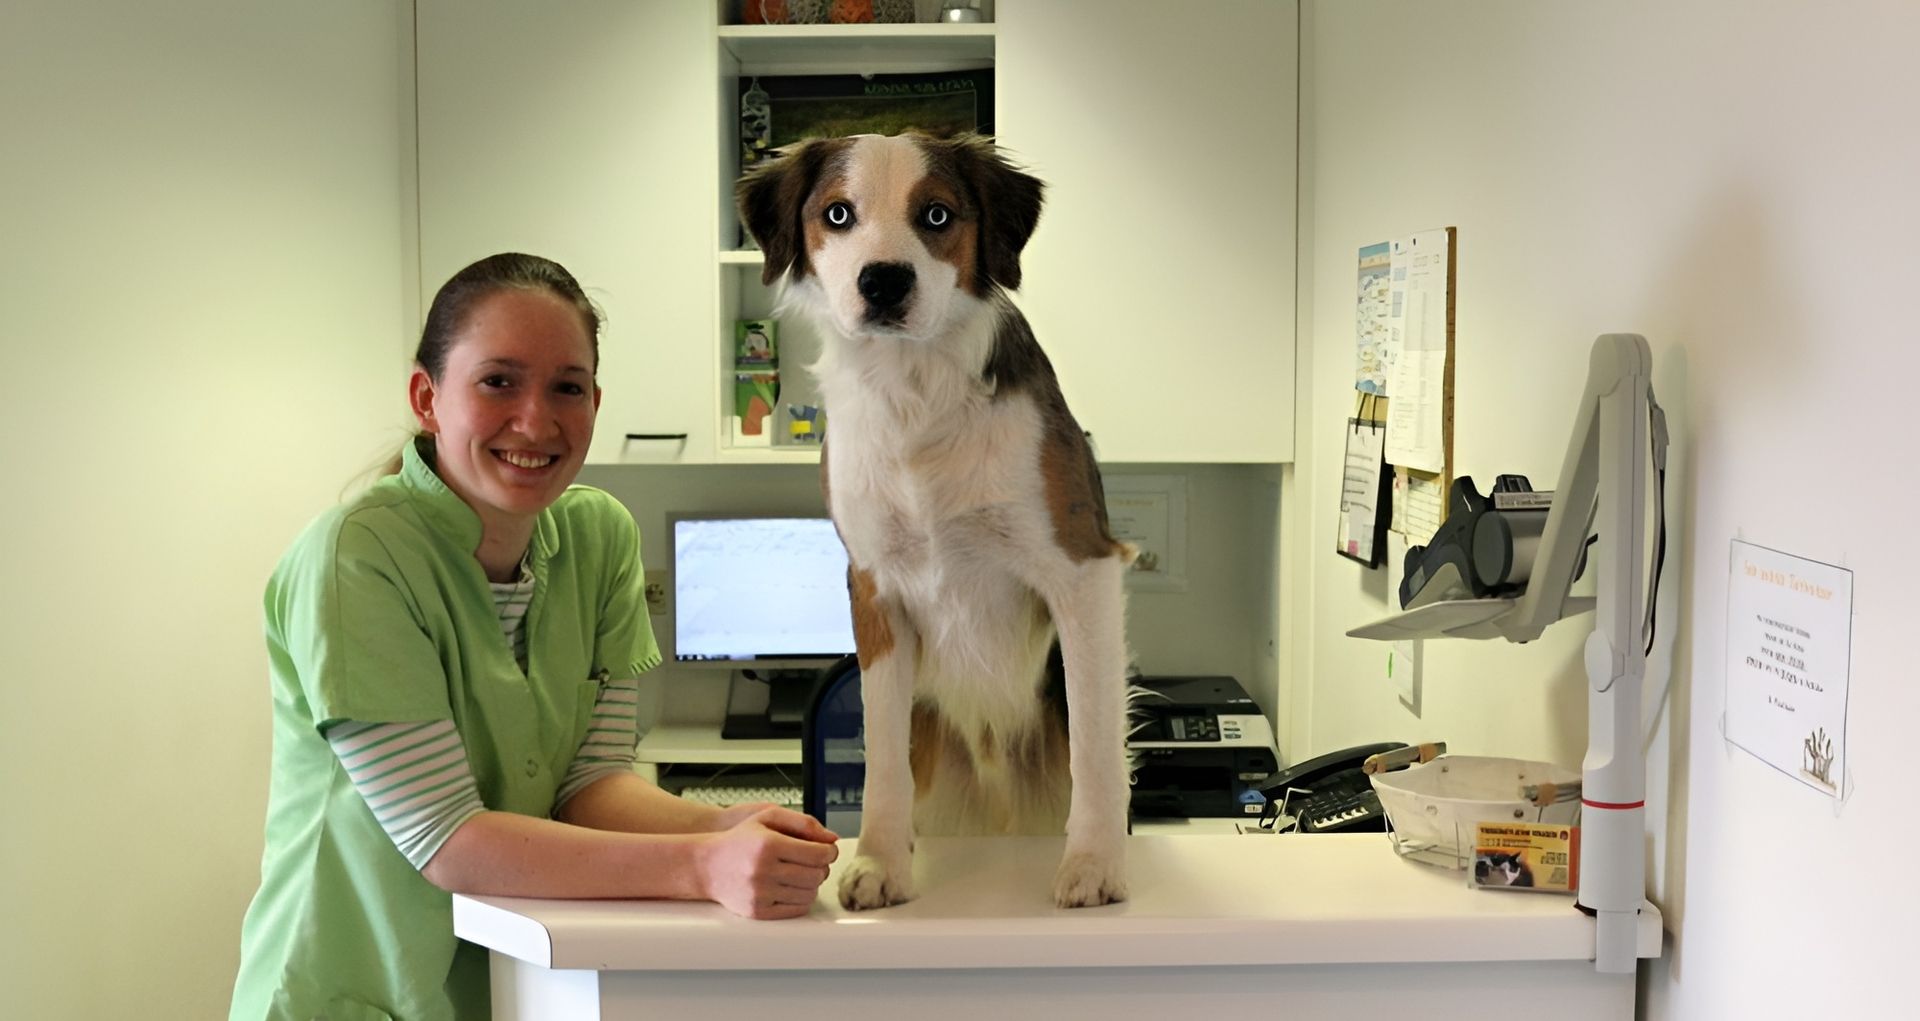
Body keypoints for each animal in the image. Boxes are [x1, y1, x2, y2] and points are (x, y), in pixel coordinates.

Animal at [729, 131, 1128, 905]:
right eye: (838, 213)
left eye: (937, 215)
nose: (884, 282)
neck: (913, 391)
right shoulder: (874, 588)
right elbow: (884, 751)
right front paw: (881, 862)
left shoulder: (1081, 568)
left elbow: (1096, 742)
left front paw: (1094, 863)